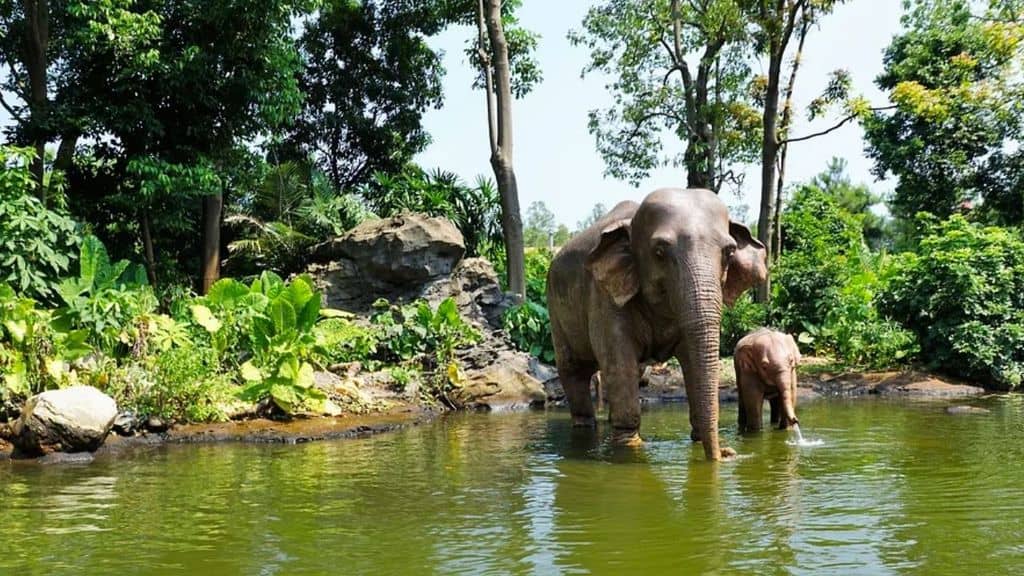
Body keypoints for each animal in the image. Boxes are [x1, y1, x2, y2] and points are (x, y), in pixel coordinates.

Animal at [548, 187, 765, 457]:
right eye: (660, 252)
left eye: (730, 252)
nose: (729, 453)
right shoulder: (604, 297)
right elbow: (619, 364)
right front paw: (630, 446)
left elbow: (691, 362)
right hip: (555, 310)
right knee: (573, 370)